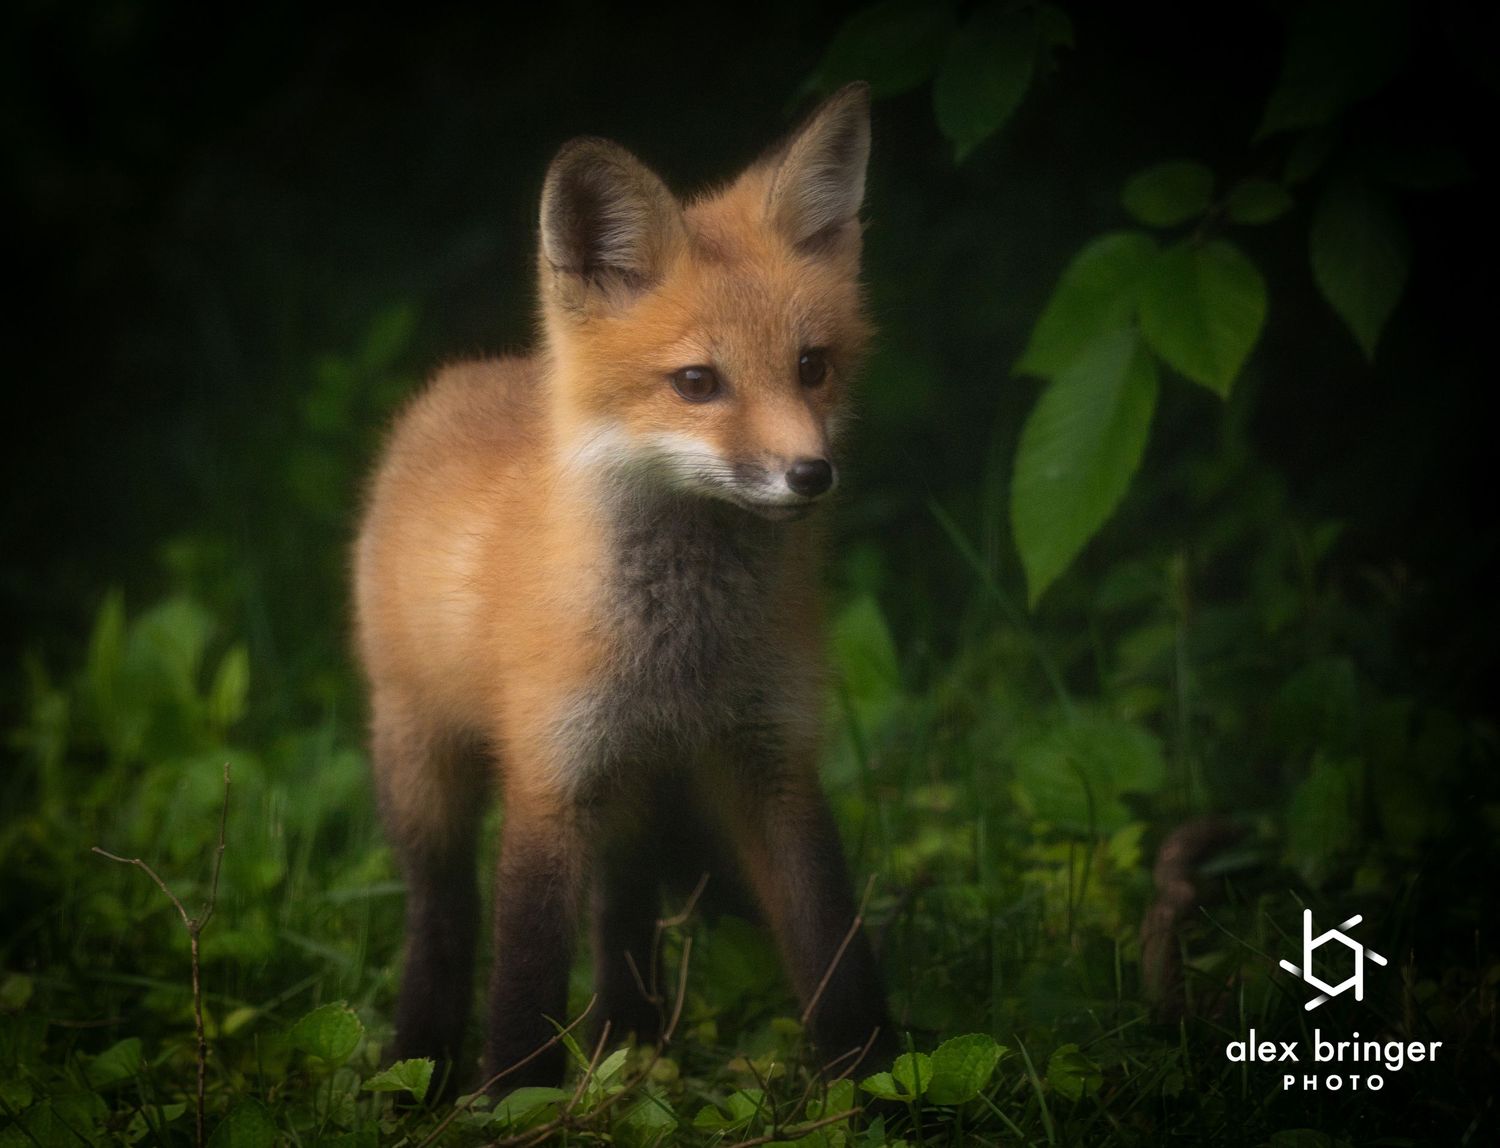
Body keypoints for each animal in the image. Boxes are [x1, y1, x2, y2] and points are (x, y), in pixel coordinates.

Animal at [353, 82, 893, 1093]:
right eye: (697, 382)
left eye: (813, 366)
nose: (812, 474)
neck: (685, 658)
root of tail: (467, 376)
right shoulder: (551, 774)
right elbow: (523, 977)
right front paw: (510, 1101)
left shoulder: (774, 761)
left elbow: (833, 949)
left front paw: (881, 1085)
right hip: (425, 762)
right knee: (441, 916)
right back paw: (420, 1062)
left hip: (641, 786)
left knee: (622, 906)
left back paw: (628, 1037)